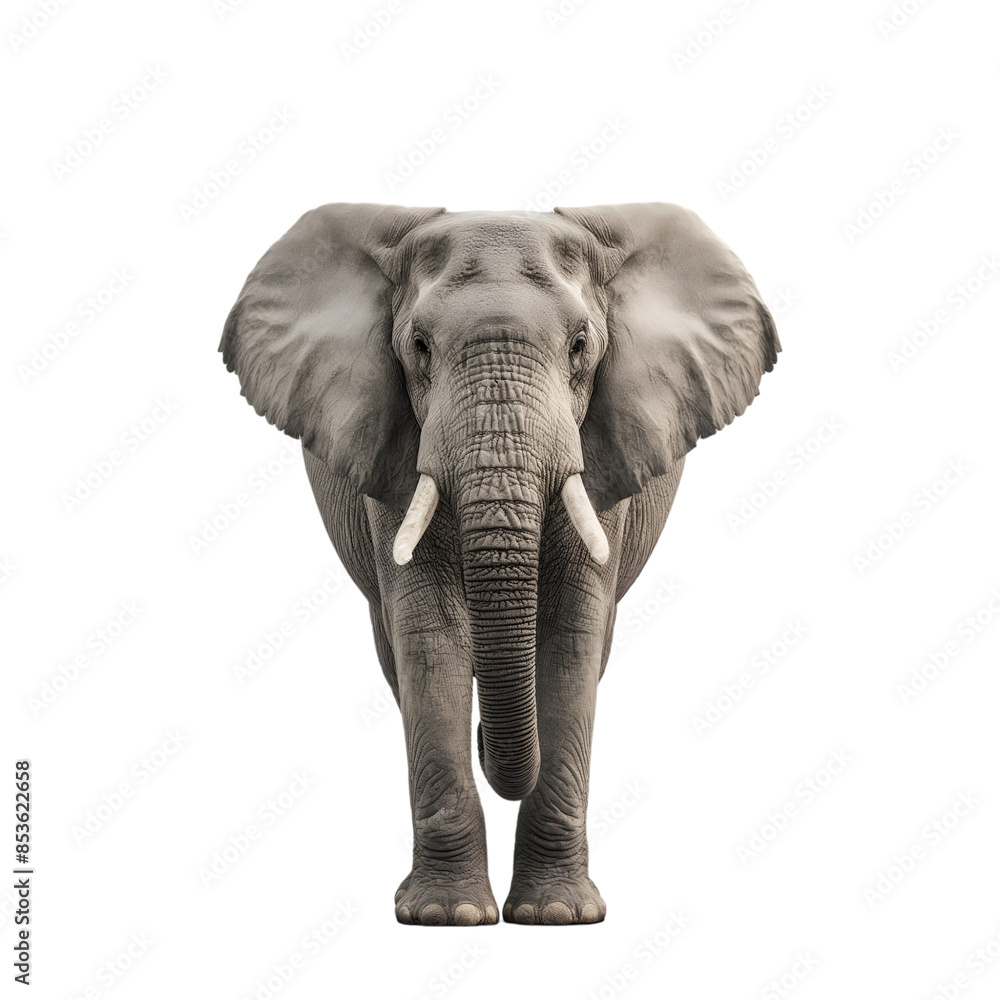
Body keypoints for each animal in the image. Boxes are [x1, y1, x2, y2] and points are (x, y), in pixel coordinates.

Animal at [220, 201, 779, 925]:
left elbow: (571, 636)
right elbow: (430, 635)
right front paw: (445, 916)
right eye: (418, 346)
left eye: (581, 345)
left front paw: (557, 917)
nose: (492, 740)